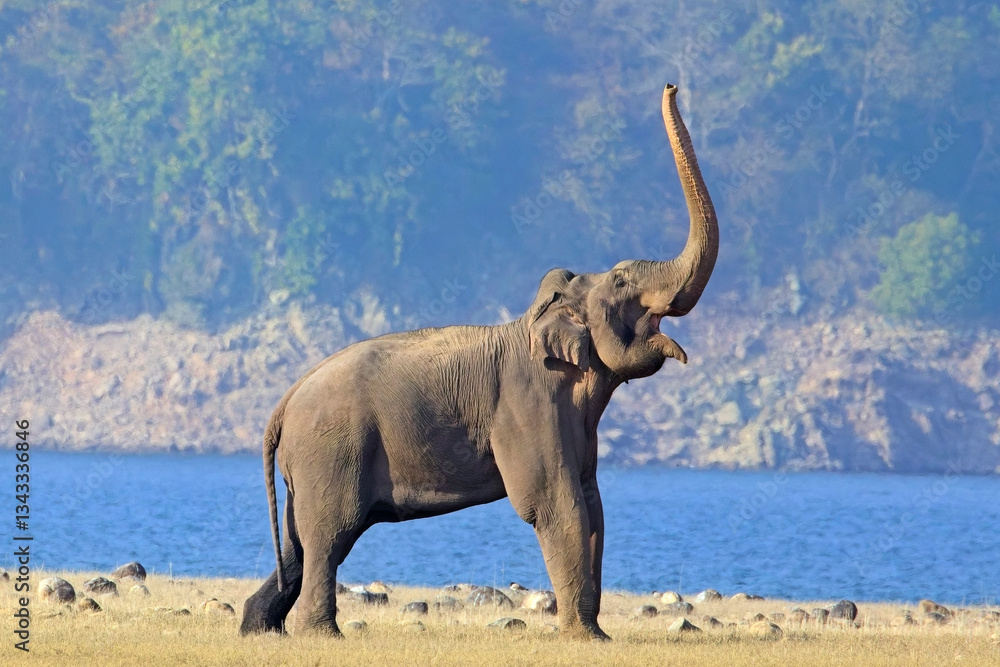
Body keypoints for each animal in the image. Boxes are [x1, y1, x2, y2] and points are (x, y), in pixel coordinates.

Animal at [240, 83, 718, 641]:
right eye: (622, 282)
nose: (671, 84)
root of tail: (284, 402)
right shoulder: (529, 406)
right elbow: (553, 502)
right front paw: (586, 638)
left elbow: (592, 501)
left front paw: (594, 634)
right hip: (331, 451)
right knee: (328, 537)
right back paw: (321, 635)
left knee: (299, 544)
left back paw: (258, 629)